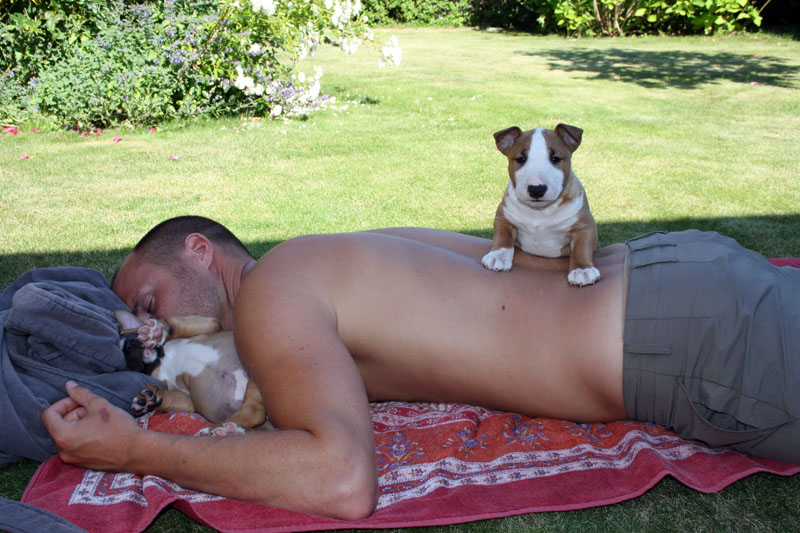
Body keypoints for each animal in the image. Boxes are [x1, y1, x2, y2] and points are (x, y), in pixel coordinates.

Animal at [115, 310, 269, 430]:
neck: (163, 359)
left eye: (130, 335)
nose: (129, 345)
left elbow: (178, 325)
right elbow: (168, 397)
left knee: (255, 412)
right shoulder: (187, 400)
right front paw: (150, 398)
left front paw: (158, 331)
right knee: (254, 413)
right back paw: (226, 429)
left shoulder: (211, 325)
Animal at [480, 123, 600, 286]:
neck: (540, 212)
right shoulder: (503, 217)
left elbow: (582, 248)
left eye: (555, 158)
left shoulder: (585, 226)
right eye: (521, 159)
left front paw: (582, 270)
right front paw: (497, 256)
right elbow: (503, 237)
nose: (536, 189)